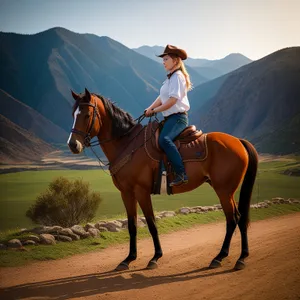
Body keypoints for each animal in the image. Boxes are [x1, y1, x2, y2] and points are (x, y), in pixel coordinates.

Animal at [68, 88, 258, 272]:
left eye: (86, 115)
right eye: (73, 114)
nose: (72, 145)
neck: (127, 144)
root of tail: (238, 141)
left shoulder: (141, 191)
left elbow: (151, 223)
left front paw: (155, 257)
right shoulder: (126, 193)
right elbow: (132, 225)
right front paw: (128, 259)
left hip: (224, 190)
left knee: (233, 219)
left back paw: (221, 257)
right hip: (226, 191)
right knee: (239, 218)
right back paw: (241, 257)